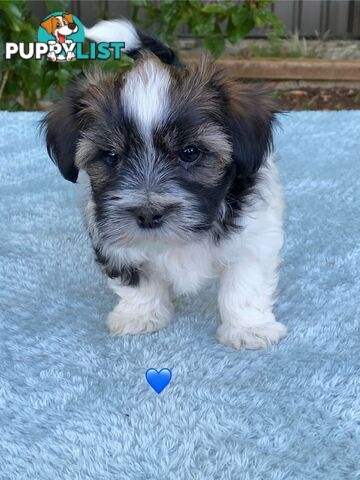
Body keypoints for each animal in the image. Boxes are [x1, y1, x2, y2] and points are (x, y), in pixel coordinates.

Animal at [43, 19, 288, 348]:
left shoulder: (254, 233)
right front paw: (141, 316)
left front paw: (248, 328)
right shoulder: (111, 240)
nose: (148, 214)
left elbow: (245, 282)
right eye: (111, 156)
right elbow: (137, 280)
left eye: (190, 152)